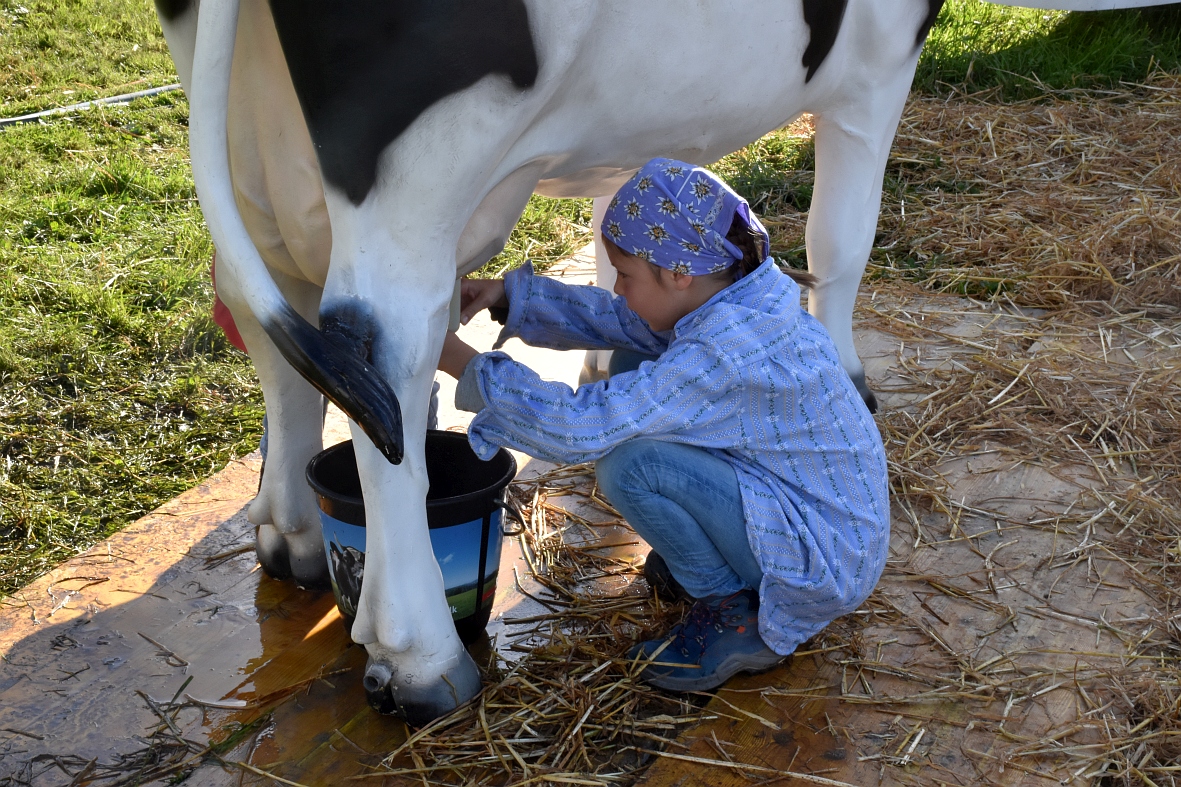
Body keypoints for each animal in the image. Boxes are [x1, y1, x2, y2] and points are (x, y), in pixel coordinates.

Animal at [157, 0, 949, 723]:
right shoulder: (880, 68)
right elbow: (841, 238)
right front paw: (850, 376)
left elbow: (612, 212)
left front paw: (596, 356)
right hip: (420, 150)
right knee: (387, 342)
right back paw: (421, 659)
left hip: (249, 121)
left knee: (268, 300)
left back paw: (291, 537)